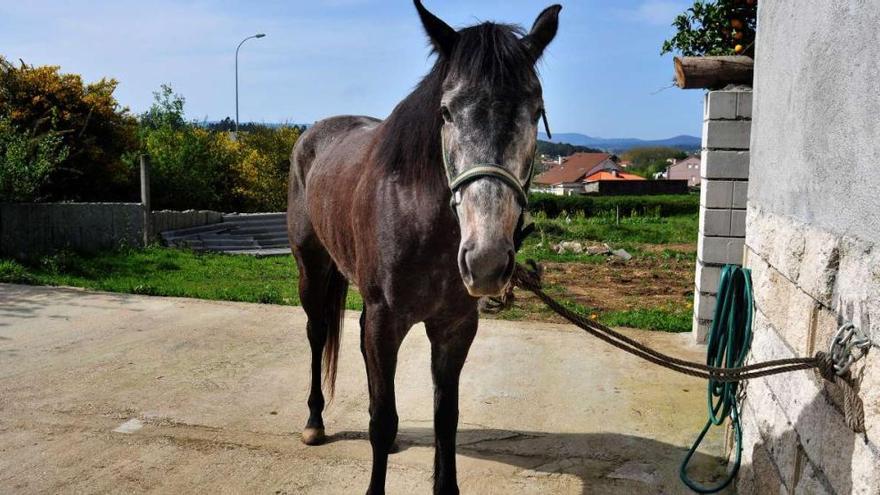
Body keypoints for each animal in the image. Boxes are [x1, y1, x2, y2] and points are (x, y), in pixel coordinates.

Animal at [288, 2, 564, 492]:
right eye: (447, 112)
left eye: (536, 111)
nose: (486, 260)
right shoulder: (386, 321)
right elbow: (381, 422)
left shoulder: (455, 327)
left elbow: (445, 421)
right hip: (312, 269)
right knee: (317, 333)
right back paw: (314, 423)